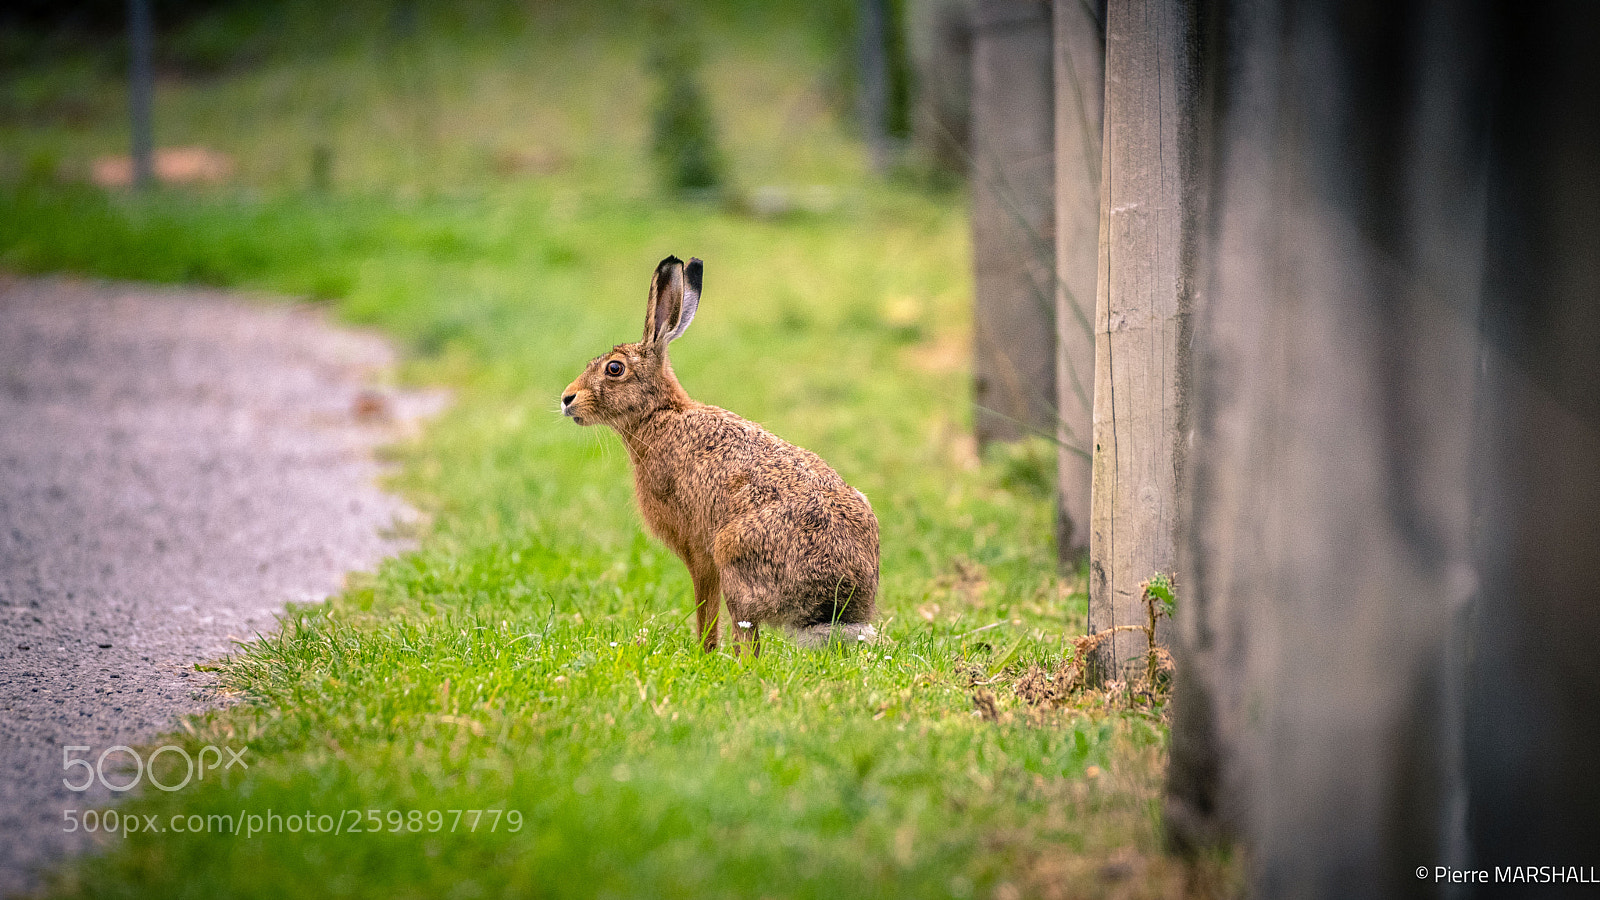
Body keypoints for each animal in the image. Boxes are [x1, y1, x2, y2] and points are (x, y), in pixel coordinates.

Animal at [561, 255, 879, 655]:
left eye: (614, 368)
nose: (567, 399)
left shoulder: (698, 550)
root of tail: (834, 609)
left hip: (734, 557)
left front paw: (704, 652)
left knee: (748, 640)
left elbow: (704, 606)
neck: (659, 414)